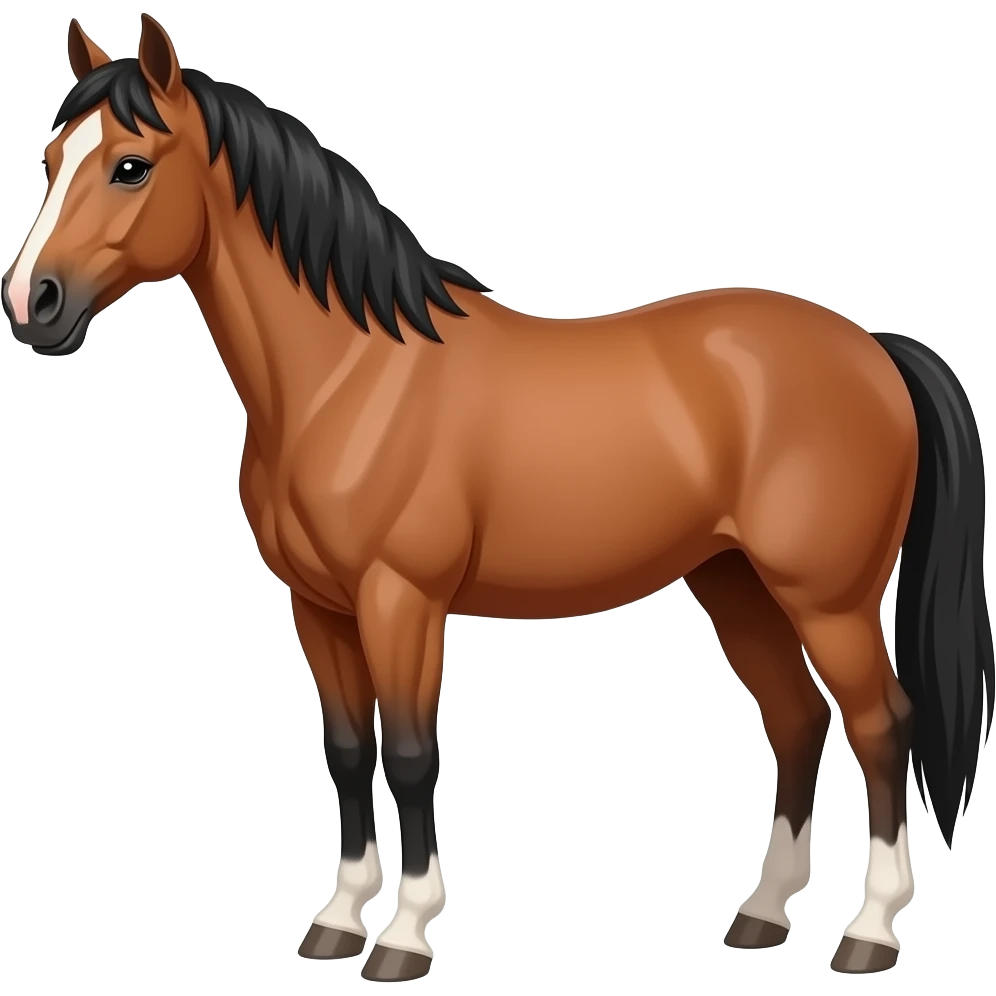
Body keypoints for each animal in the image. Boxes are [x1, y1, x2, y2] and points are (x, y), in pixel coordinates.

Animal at [3, 15, 992, 981]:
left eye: (131, 165)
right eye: (52, 159)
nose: (31, 302)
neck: (351, 375)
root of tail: (873, 349)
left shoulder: (401, 600)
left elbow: (409, 755)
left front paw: (403, 937)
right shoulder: (318, 609)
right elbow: (347, 753)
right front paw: (335, 922)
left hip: (828, 600)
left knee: (882, 726)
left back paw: (869, 932)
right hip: (735, 583)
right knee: (797, 721)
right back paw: (761, 914)